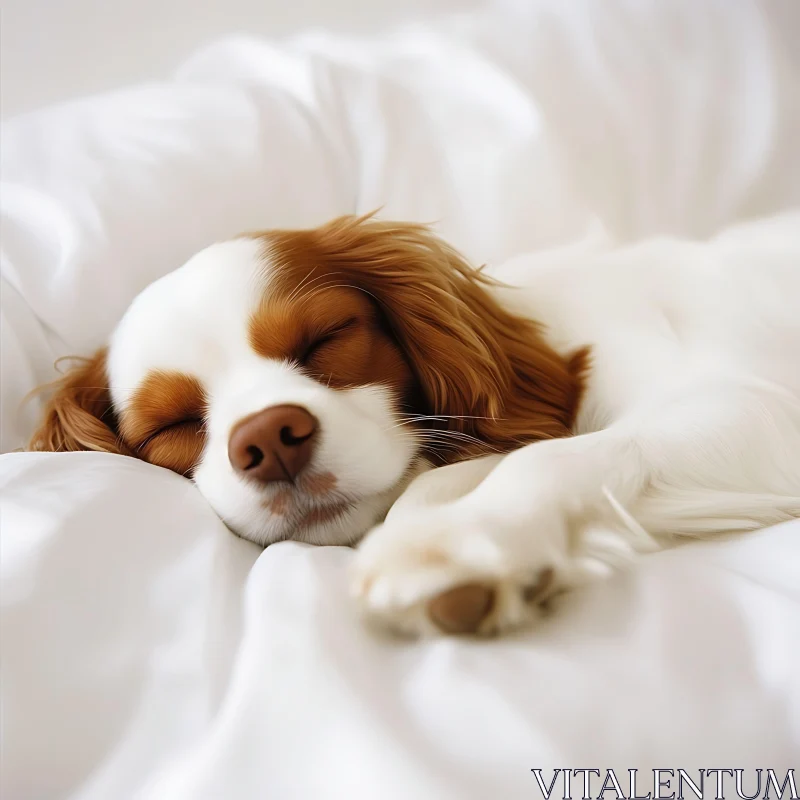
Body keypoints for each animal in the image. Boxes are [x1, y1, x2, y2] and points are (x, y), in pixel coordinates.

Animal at [29, 212, 800, 636]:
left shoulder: (749, 408)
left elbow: (552, 457)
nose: (269, 439)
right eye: (174, 426)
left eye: (325, 338)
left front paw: (460, 545)